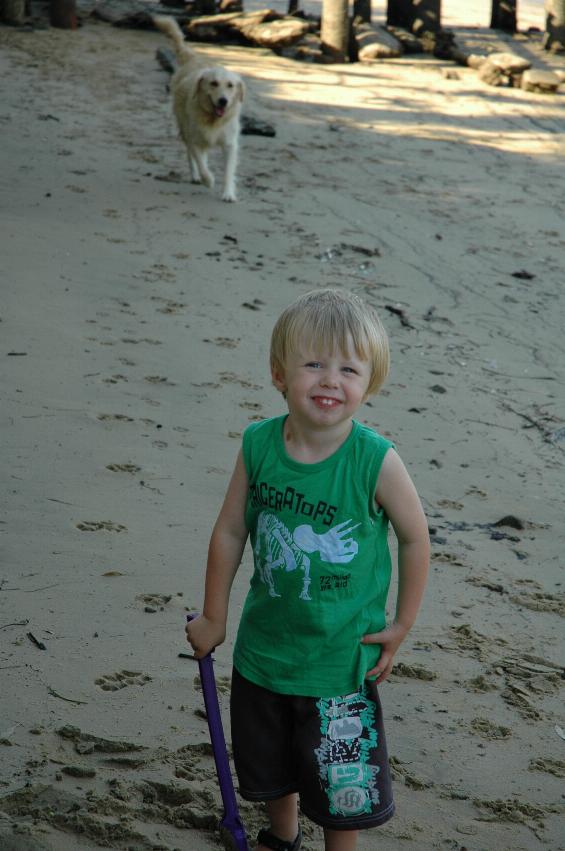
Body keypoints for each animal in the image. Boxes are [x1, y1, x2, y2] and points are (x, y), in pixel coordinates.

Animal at [154, 17, 245, 204]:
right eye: (214, 83)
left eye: (230, 85)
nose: (223, 101)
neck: (213, 120)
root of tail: (193, 58)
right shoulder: (193, 137)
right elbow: (200, 162)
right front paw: (208, 179)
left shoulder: (229, 143)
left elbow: (228, 170)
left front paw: (228, 194)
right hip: (183, 125)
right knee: (192, 156)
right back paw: (196, 177)